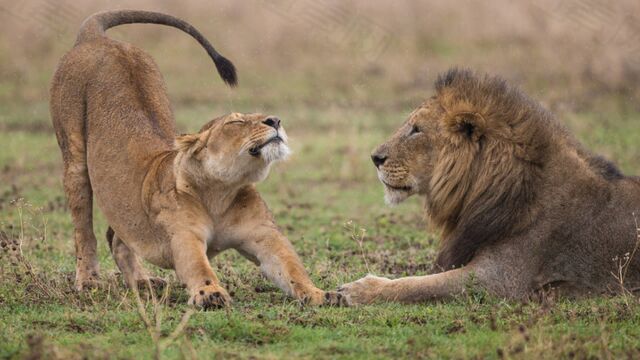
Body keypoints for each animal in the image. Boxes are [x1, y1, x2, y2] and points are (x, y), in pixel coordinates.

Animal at [51, 9, 340, 308]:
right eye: (236, 122)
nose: (276, 120)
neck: (221, 193)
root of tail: (97, 39)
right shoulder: (184, 236)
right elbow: (198, 267)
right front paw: (210, 293)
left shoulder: (264, 235)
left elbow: (291, 268)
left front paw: (320, 294)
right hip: (74, 157)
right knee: (84, 230)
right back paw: (88, 281)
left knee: (118, 236)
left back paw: (142, 281)